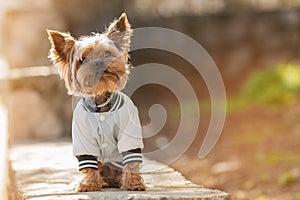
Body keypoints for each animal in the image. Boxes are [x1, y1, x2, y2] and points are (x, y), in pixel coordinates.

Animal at [47, 13, 146, 191]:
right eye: (83, 59)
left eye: (107, 54)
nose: (99, 63)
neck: (102, 103)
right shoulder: (82, 135)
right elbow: (88, 163)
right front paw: (90, 185)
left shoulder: (129, 129)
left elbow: (131, 159)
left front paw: (133, 184)